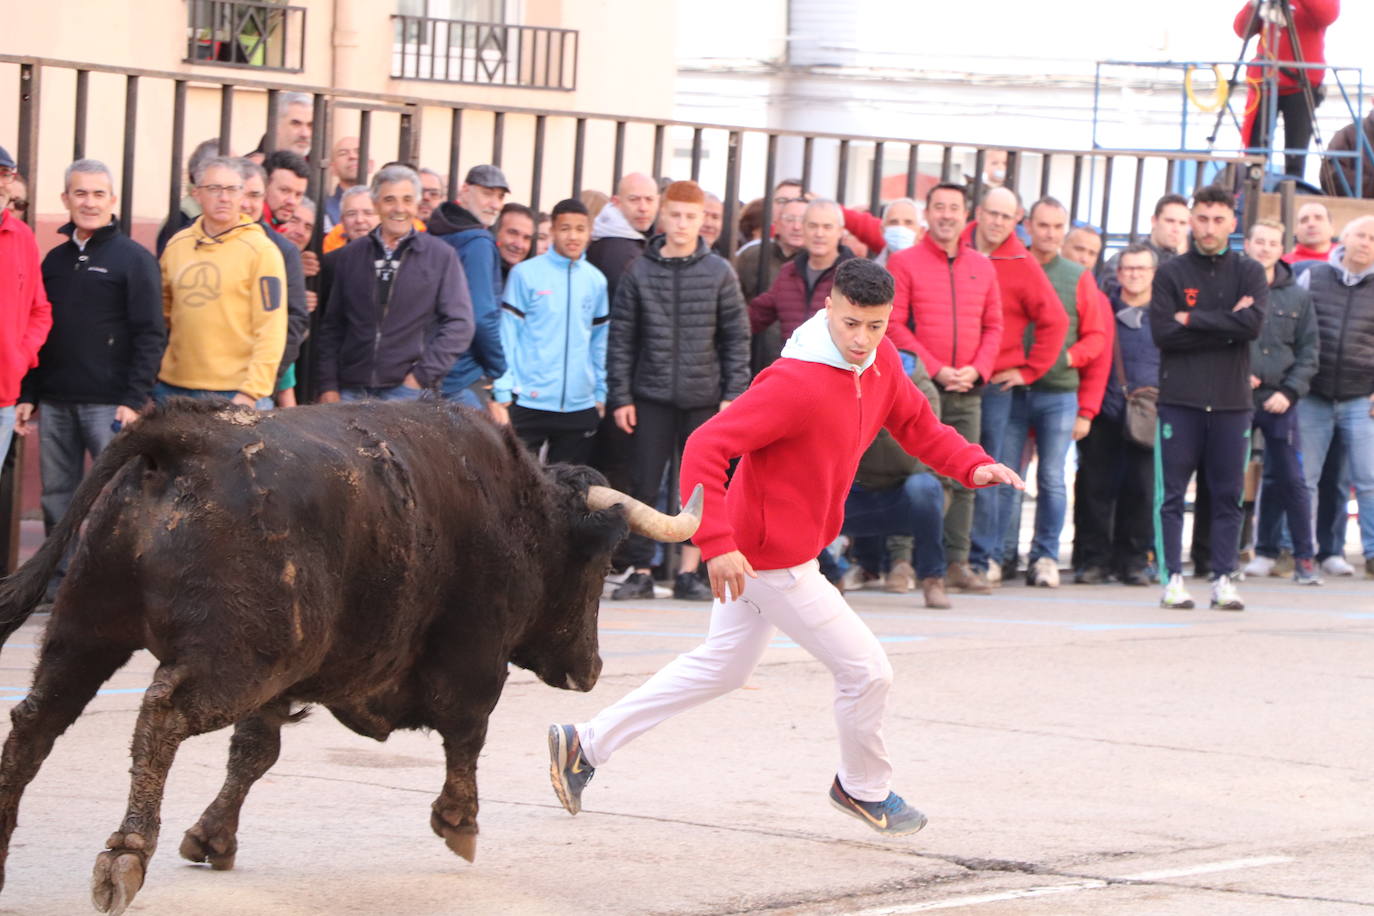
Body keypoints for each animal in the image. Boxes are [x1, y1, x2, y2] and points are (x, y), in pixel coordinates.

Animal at [0, 401, 697, 916]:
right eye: (600, 565)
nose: (592, 670)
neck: (517, 510)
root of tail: (185, 438)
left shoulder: (286, 685)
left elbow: (255, 752)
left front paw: (211, 837)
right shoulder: (474, 657)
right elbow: (468, 734)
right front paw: (459, 821)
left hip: (85, 630)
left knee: (35, 721)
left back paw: (6, 845)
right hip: (236, 657)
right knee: (160, 713)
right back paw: (125, 854)